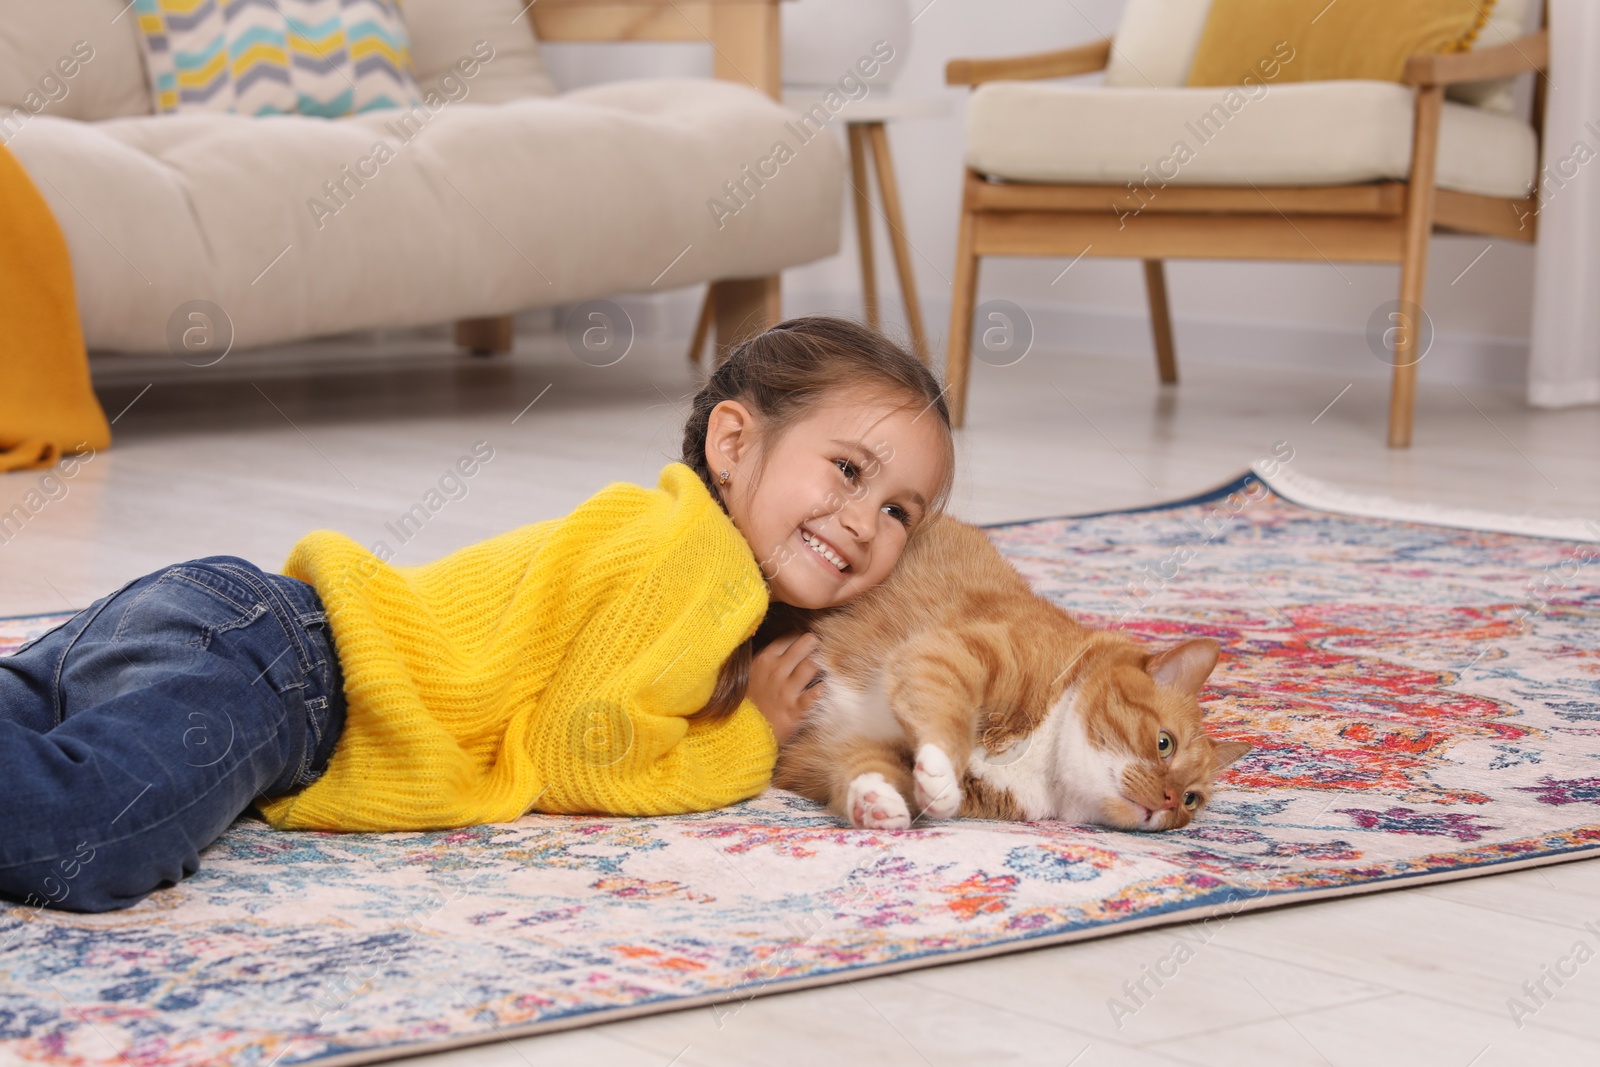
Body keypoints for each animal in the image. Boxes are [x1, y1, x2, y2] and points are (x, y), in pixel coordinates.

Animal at [771, 518, 1248, 831]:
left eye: (1190, 799)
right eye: (1165, 744)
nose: (1168, 802)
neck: (1043, 760)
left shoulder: (836, 749)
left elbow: (863, 766)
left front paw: (877, 803)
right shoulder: (956, 653)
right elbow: (949, 718)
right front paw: (940, 772)